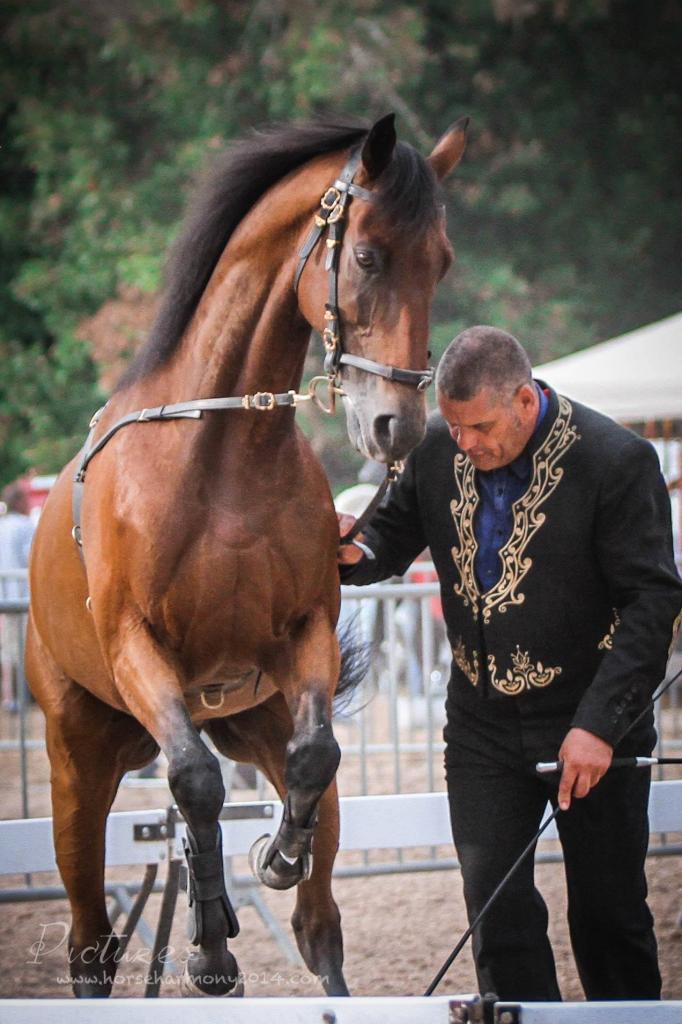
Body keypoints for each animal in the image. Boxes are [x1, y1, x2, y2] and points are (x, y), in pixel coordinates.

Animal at [25, 114, 462, 999]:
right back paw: (203, 945)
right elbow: (193, 782)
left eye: (441, 261)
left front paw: (278, 856)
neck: (220, 456)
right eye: (368, 256)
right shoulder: (137, 649)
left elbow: (314, 759)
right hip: (78, 768)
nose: (397, 427)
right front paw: (212, 937)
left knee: (316, 921)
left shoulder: (305, 639)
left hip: (250, 721)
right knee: (92, 940)